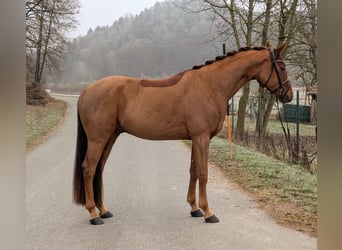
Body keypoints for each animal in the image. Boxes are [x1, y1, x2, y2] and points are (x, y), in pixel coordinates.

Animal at [73, 42, 292, 225]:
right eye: (282, 67)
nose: (288, 95)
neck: (210, 85)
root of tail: (86, 91)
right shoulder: (202, 138)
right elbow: (203, 173)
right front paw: (208, 212)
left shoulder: (197, 139)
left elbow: (193, 170)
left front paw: (195, 208)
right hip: (98, 139)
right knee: (89, 168)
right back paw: (93, 214)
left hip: (110, 137)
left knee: (99, 169)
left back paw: (103, 210)